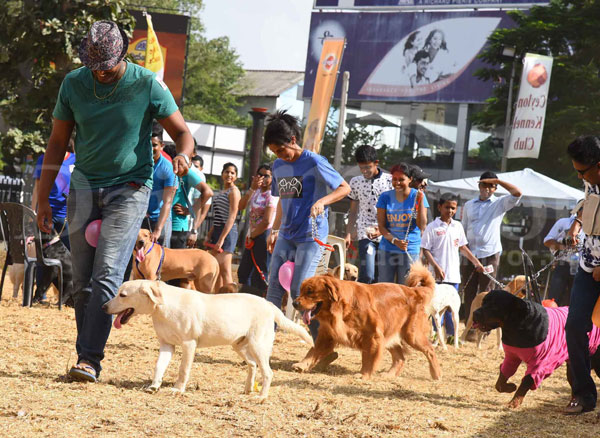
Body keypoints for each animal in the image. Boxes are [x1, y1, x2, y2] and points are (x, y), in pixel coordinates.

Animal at [102, 280, 314, 400]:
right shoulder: (166, 345)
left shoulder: (189, 344)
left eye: (123, 295)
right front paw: (154, 386)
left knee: (268, 372)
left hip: (258, 346)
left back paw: (261, 397)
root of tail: (269, 304)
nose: (103, 307)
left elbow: (183, 370)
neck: (163, 307)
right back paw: (247, 390)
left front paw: (178, 390)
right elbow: (158, 367)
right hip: (239, 346)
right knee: (253, 365)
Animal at [290, 264, 440, 380]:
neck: (342, 308)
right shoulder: (328, 334)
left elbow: (368, 357)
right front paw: (302, 364)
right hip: (390, 335)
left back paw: (436, 374)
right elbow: (313, 350)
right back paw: (389, 374)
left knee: (430, 350)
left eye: (310, 292)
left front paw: (364, 374)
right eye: (301, 290)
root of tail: (414, 291)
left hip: (412, 335)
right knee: (400, 358)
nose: (294, 303)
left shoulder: (372, 336)